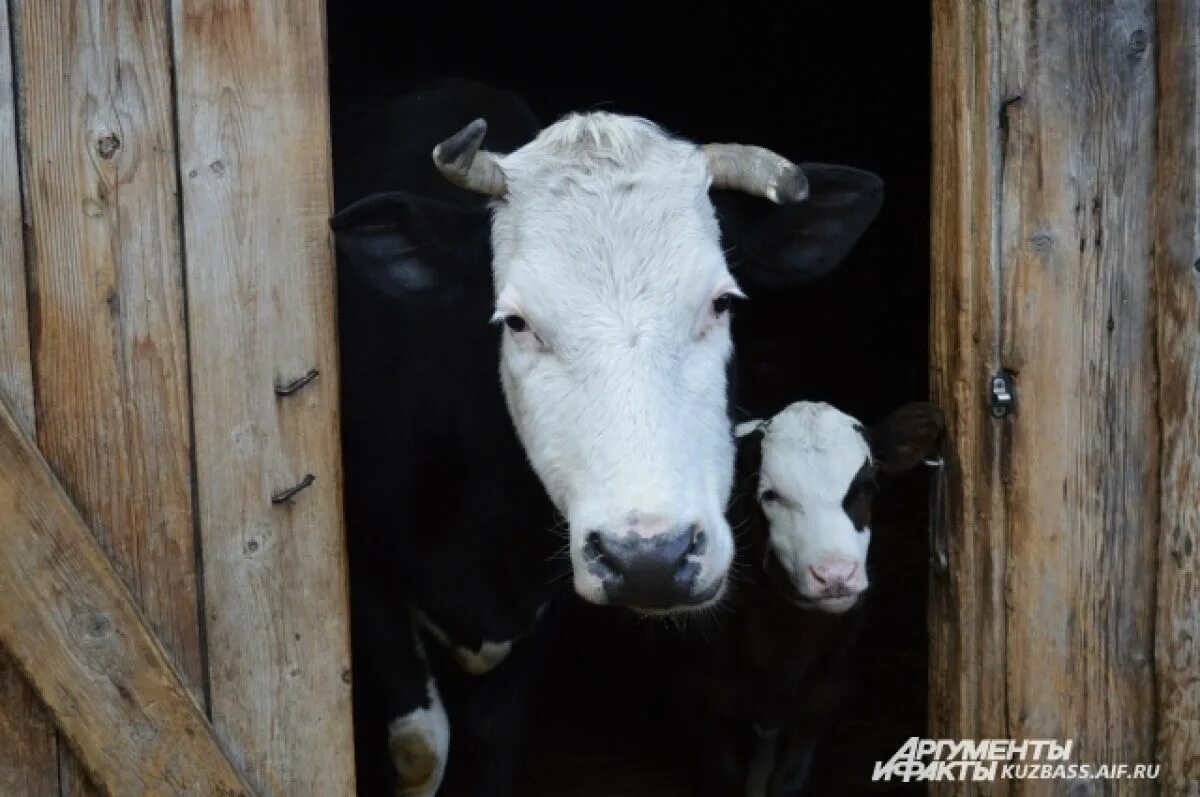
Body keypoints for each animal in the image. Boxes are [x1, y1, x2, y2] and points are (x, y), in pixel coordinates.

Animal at [672, 400, 940, 792]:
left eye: (866, 486)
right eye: (769, 495)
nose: (835, 575)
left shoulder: (823, 694)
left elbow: (790, 780)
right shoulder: (702, 696)